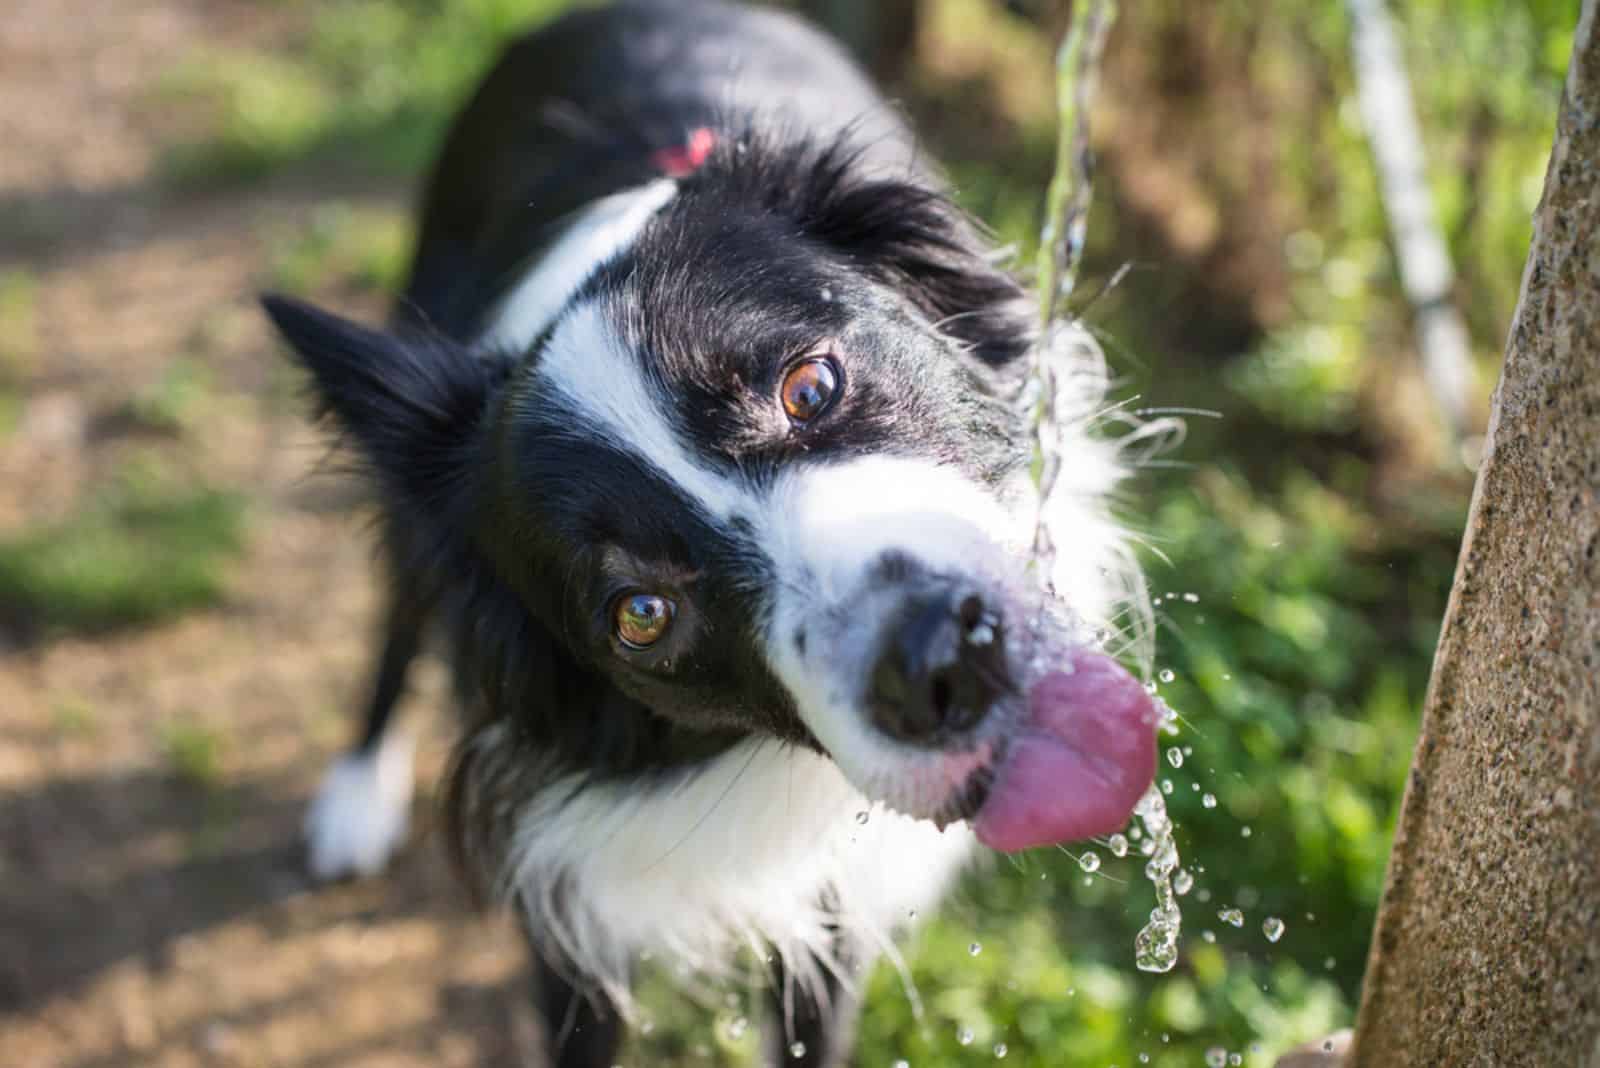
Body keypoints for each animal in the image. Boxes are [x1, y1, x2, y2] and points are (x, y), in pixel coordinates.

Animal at [262, 4, 1164, 1061]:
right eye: (639, 615)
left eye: (810, 385)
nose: (943, 661)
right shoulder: (572, 911)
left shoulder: (832, 921)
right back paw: (357, 791)